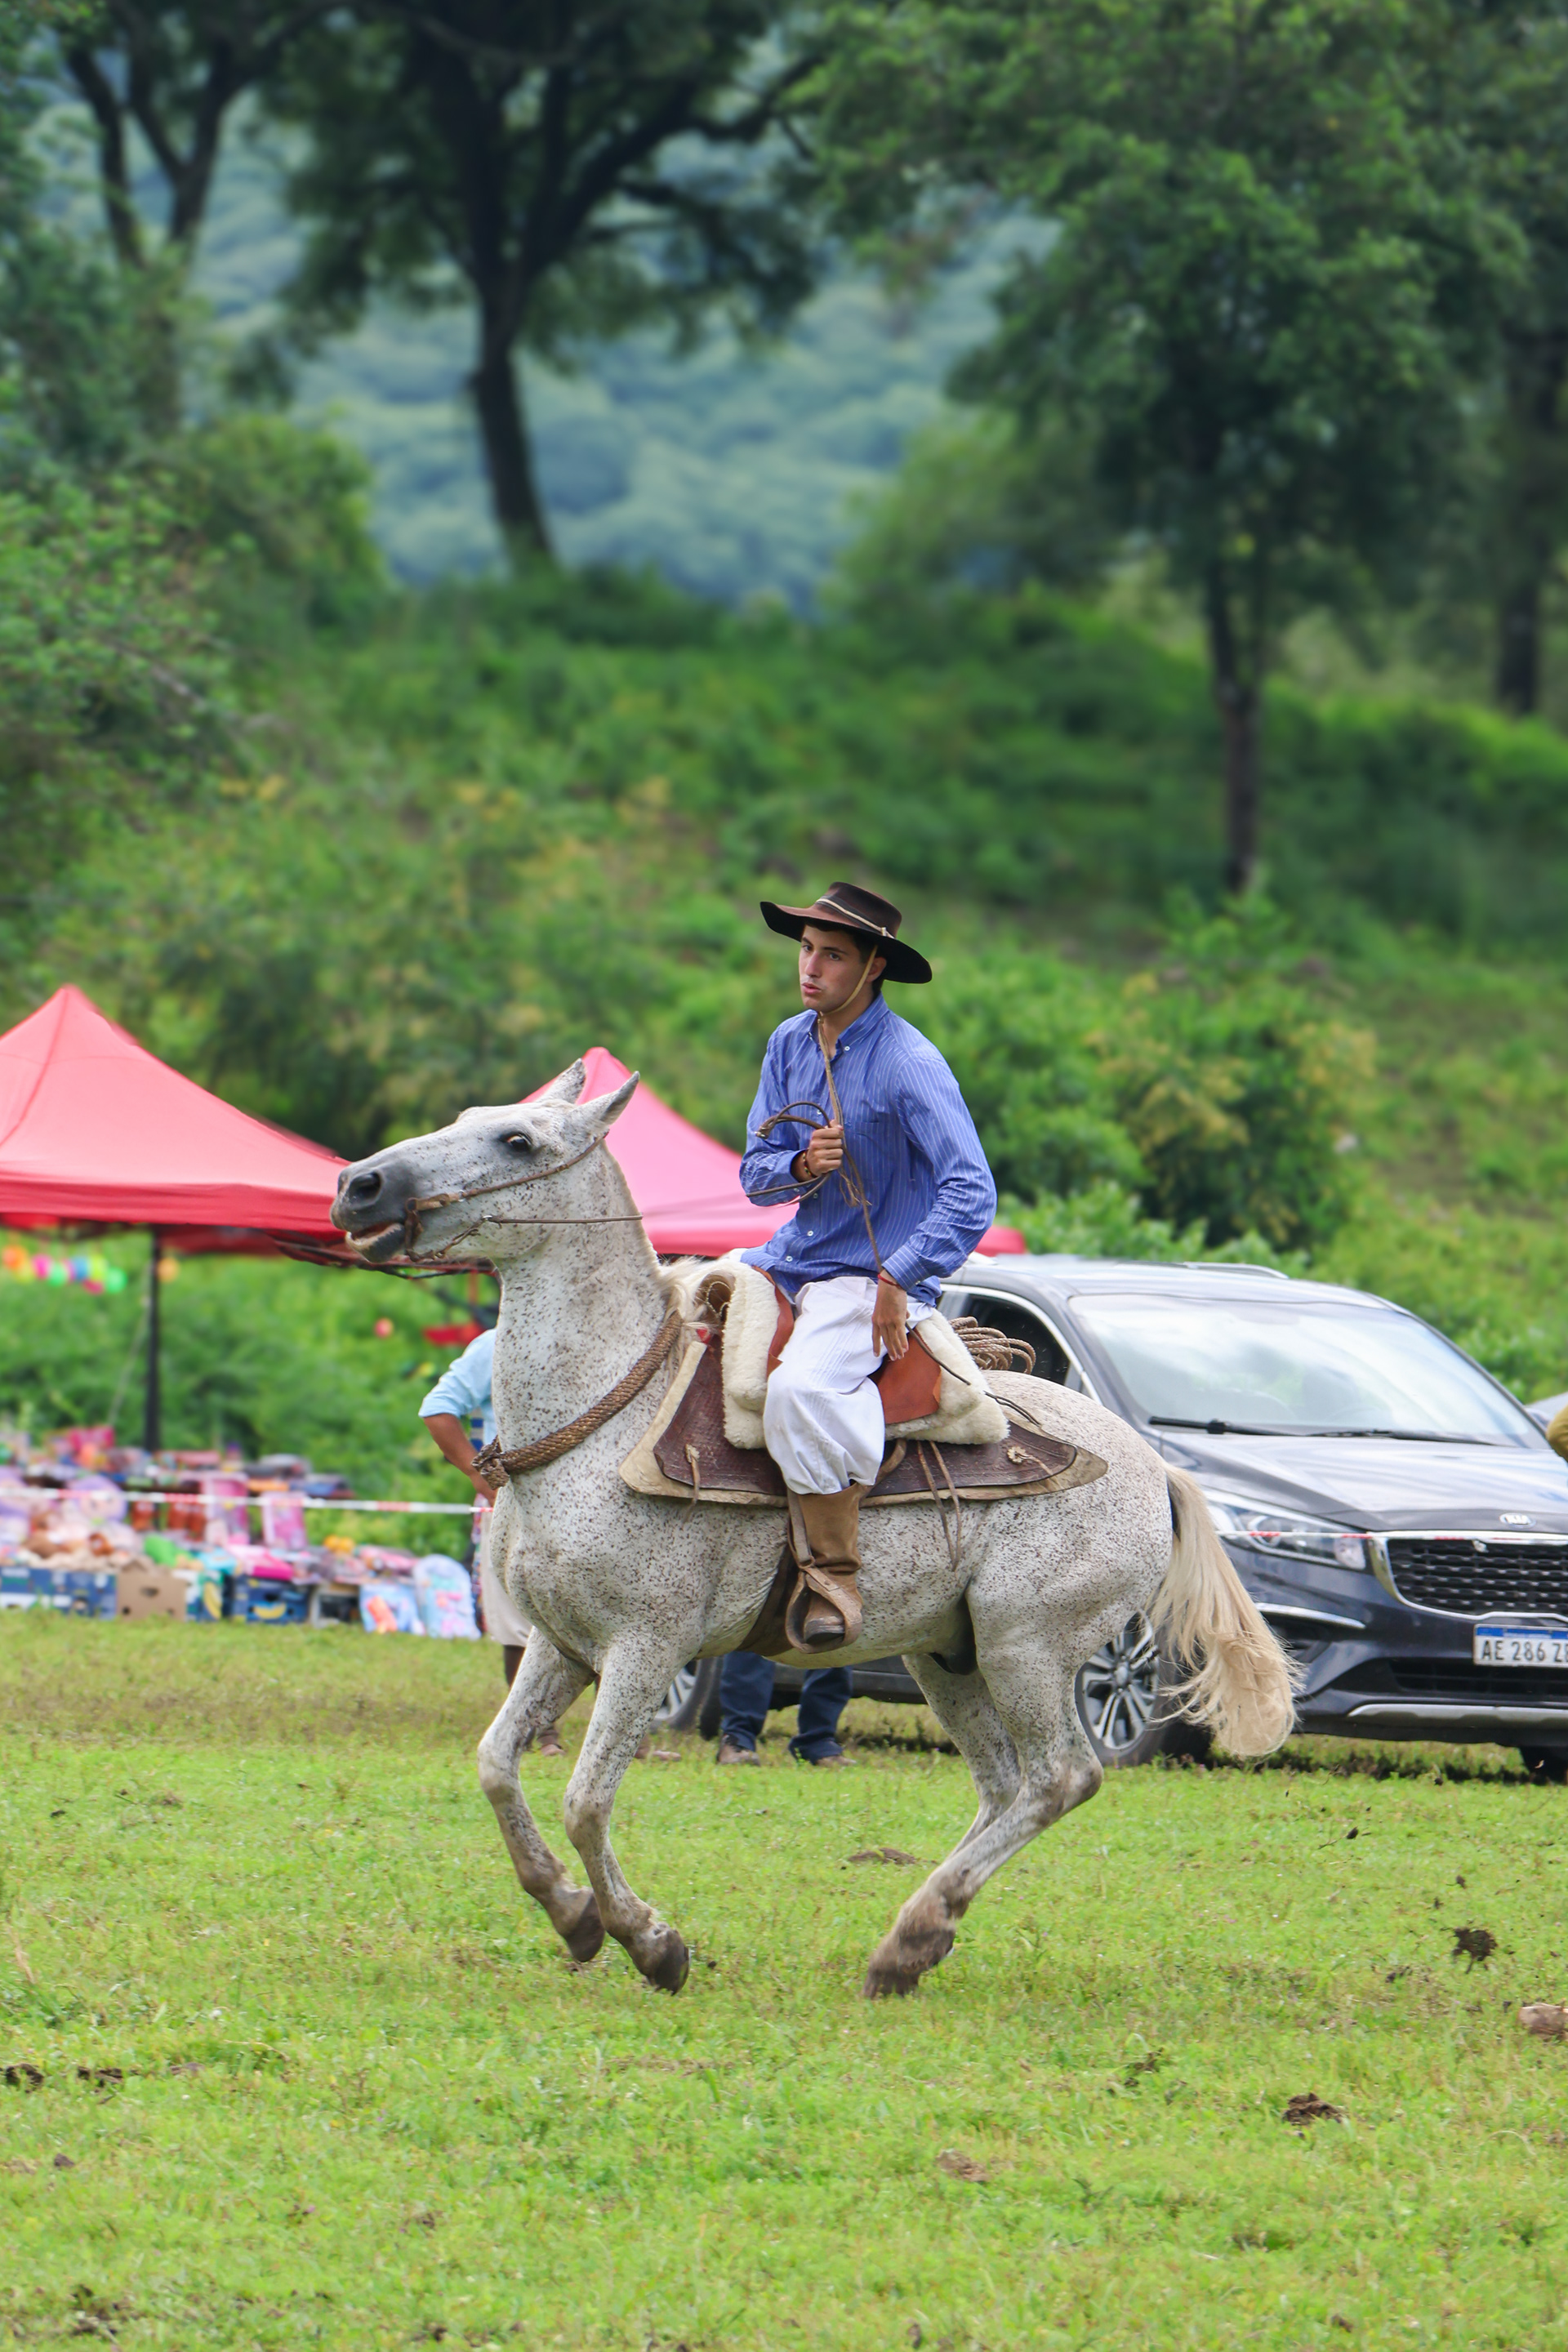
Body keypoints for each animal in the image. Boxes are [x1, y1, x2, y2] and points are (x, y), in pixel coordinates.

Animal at [331, 1059, 1296, 1999]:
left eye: (518, 1139)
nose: (357, 1184)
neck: (609, 1419)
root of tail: (1155, 1467)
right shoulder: (560, 1644)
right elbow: (497, 1766)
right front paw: (572, 1917)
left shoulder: (647, 1647)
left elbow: (584, 1801)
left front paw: (651, 1943)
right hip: (948, 1653)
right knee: (1003, 1784)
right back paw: (917, 1940)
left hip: (1027, 1644)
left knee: (1061, 1777)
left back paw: (912, 1934)